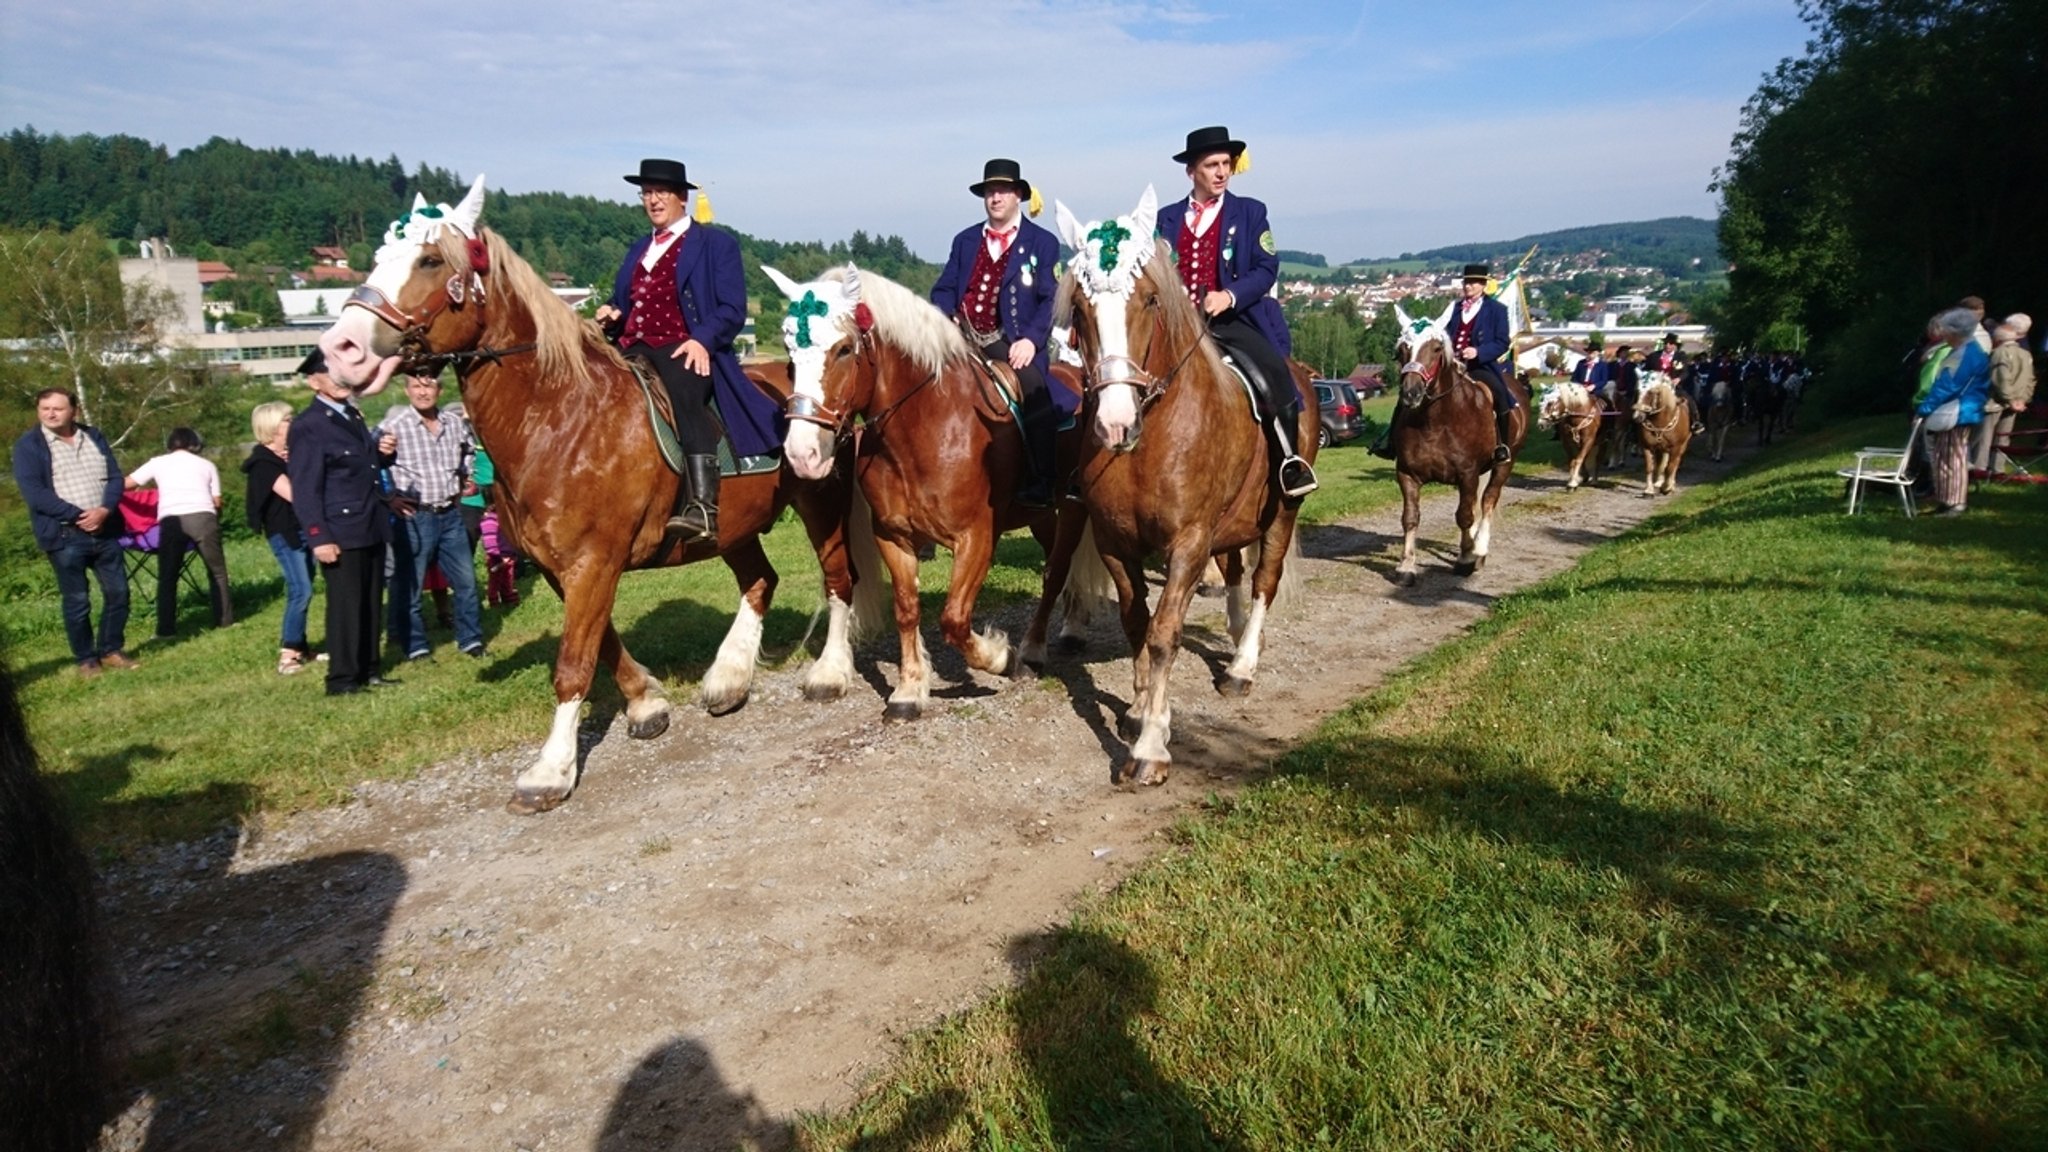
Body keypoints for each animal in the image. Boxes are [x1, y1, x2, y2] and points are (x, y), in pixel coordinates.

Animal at [311, 177, 864, 807]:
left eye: (429, 260)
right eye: (380, 256)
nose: (342, 347)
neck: (558, 417)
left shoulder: (593, 560)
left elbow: (573, 662)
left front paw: (551, 769)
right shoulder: (563, 568)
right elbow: (599, 643)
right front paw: (645, 703)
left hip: (820, 502)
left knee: (838, 578)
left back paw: (829, 674)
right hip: (733, 527)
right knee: (760, 581)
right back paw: (728, 678)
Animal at [1024, 186, 1327, 787]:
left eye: (1148, 300)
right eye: (1081, 310)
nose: (1115, 424)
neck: (1154, 437)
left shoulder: (1187, 543)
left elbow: (1165, 633)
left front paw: (1150, 748)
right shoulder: (1116, 543)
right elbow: (1137, 622)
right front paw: (1142, 709)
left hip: (1282, 511)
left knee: (1264, 579)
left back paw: (1242, 666)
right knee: (1234, 572)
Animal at [1384, 301, 1531, 582]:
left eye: (1436, 348)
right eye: (1402, 349)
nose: (1411, 393)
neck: (1434, 421)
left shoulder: (1467, 473)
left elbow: (1464, 516)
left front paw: (1465, 559)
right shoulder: (1407, 474)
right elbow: (1410, 518)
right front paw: (1407, 566)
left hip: (1505, 463)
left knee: (1488, 500)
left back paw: (1479, 549)